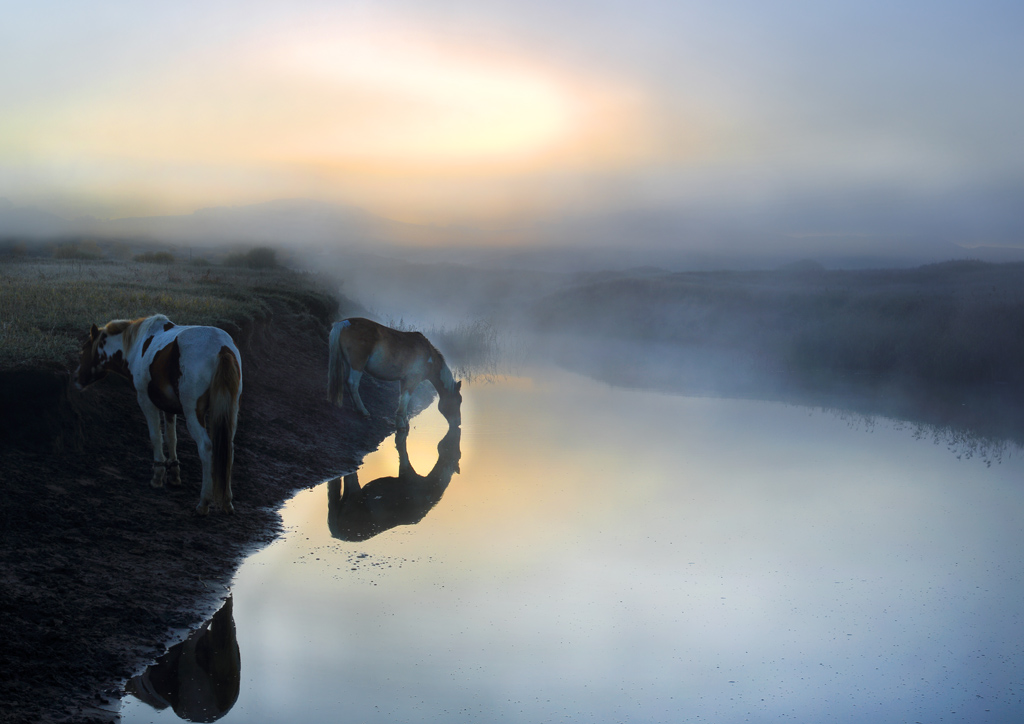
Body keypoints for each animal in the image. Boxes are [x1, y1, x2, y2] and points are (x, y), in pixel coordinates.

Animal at [74, 313, 242, 516]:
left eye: (83, 350)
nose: (76, 378)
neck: (137, 345)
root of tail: (222, 348)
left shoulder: (146, 401)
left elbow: (155, 437)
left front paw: (157, 476)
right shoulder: (169, 407)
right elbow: (171, 438)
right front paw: (174, 474)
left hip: (194, 413)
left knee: (206, 447)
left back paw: (204, 502)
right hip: (230, 411)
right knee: (228, 448)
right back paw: (227, 502)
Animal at [325, 319, 462, 430]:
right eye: (458, 401)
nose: (459, 422)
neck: (428, 356)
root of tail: (343, 323)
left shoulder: (404, 380)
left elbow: (403, 398)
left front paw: (404, 421)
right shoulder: (412, 380)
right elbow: (405, 398)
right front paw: (401, 424)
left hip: (347, 363)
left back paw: (356, 408)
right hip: (357, 365)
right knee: (352, 384)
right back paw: (363, 411)